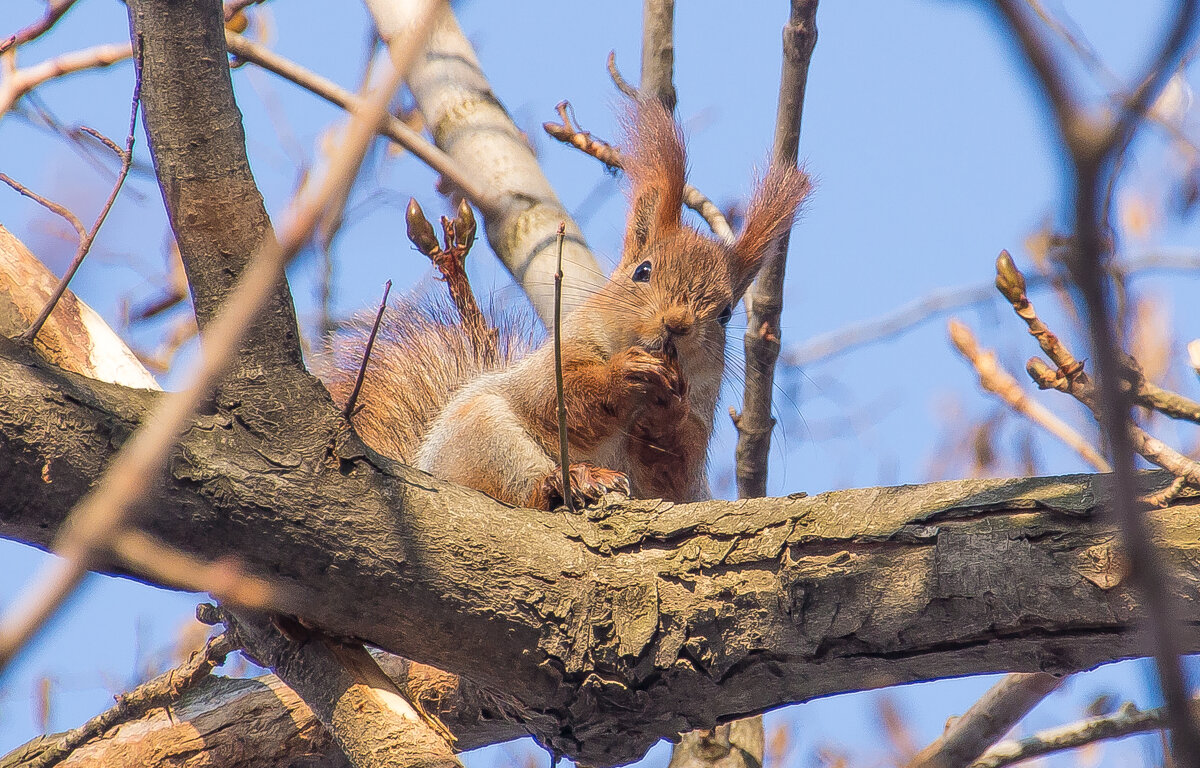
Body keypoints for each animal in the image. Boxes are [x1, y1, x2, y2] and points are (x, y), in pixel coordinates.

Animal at [324, 102, 811, 508]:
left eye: (726, 312)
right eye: (643, 272)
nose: (677, 324)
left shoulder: (699, 421)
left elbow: (675, 466)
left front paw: (666, 409)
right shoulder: (561, 354)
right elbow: (560, 400)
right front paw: (625, 374)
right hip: (482, 436)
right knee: (520, 485)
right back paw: (571, 480)